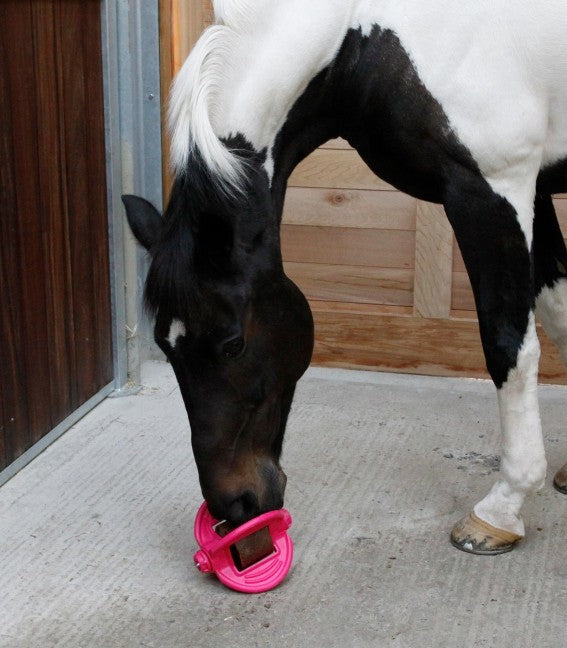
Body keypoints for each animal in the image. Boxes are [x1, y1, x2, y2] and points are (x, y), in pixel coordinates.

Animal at [123, 0, 567, 556]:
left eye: (233, 344)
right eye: (166, 346)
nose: (236, 507)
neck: (366, 36)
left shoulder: (494, 190)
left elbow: (508, 345)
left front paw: (502, 509)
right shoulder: (537, 189)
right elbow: (560, 312)